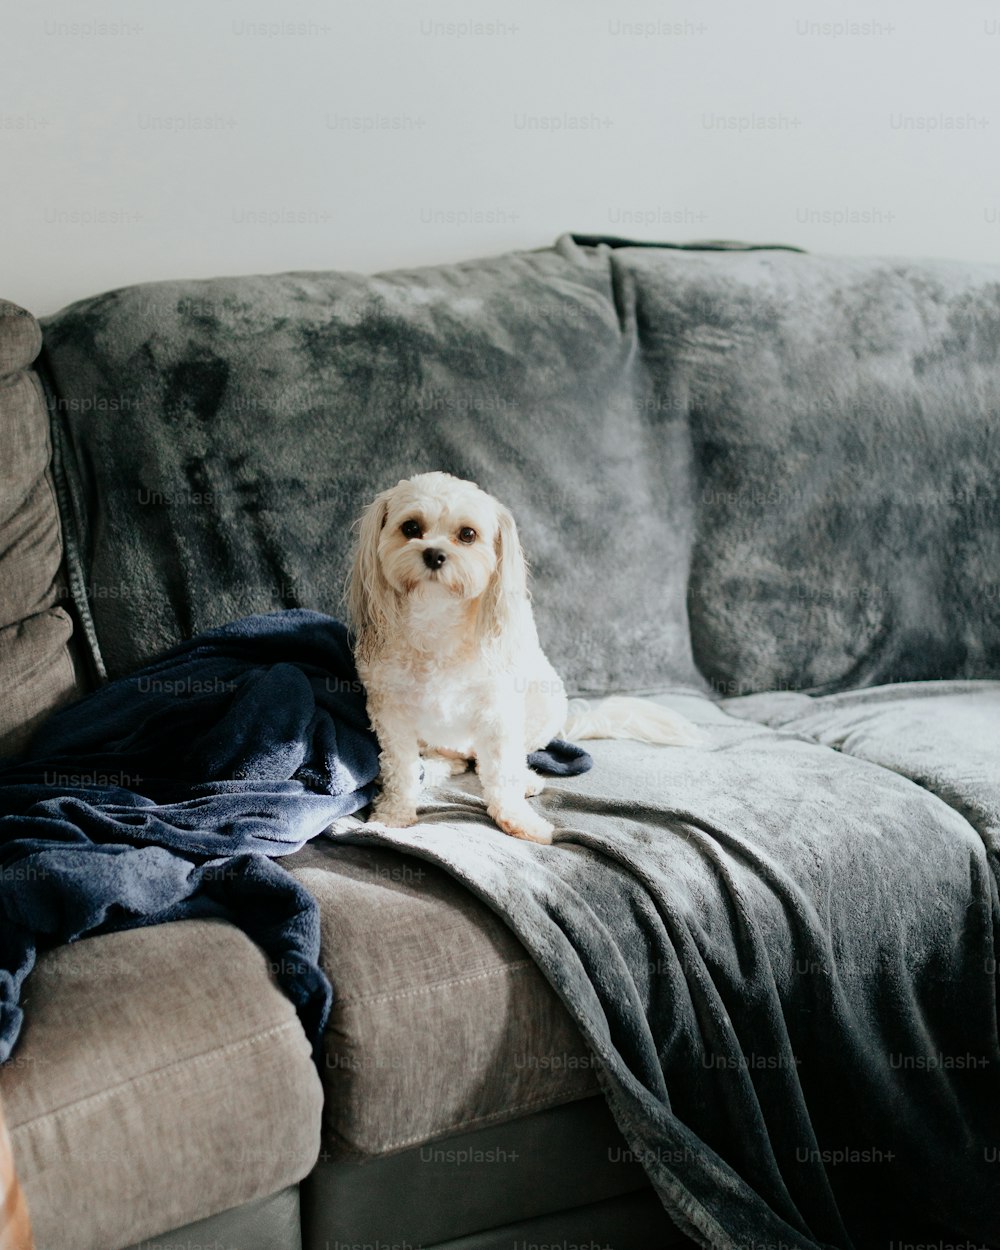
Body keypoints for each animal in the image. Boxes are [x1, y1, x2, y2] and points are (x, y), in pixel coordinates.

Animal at [347, 472, 700, 845]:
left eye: (468, 534)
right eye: (411, 527)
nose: (434, 555)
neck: (437, 617)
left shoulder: (498, 713)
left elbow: (503, 773)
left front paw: (518, 819)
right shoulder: (390, 712)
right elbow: (400, 768)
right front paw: (394, 814)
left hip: (547, 701)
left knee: (505, 757)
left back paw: (522, 777)